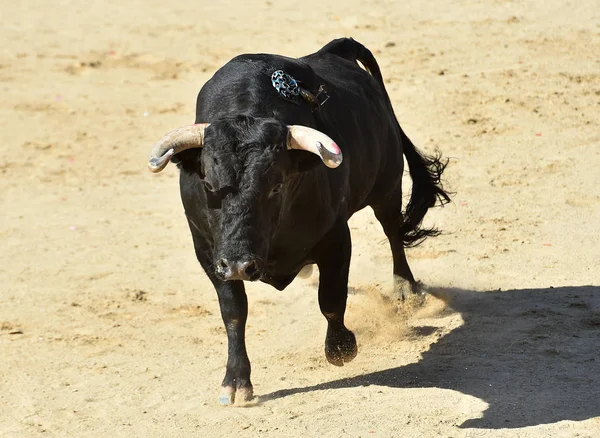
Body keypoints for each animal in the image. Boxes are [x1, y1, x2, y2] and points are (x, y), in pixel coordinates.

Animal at [146, 37, 450, 404]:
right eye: (208, 185)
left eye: (276, 185)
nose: (239, 265)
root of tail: (333, 50)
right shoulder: (208, 251)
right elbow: (233, 311)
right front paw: (236, 381)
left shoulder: (336, 238)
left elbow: (331, 299)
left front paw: (341, 348)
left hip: (387, 183)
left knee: (392, 230)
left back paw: (405, 289)